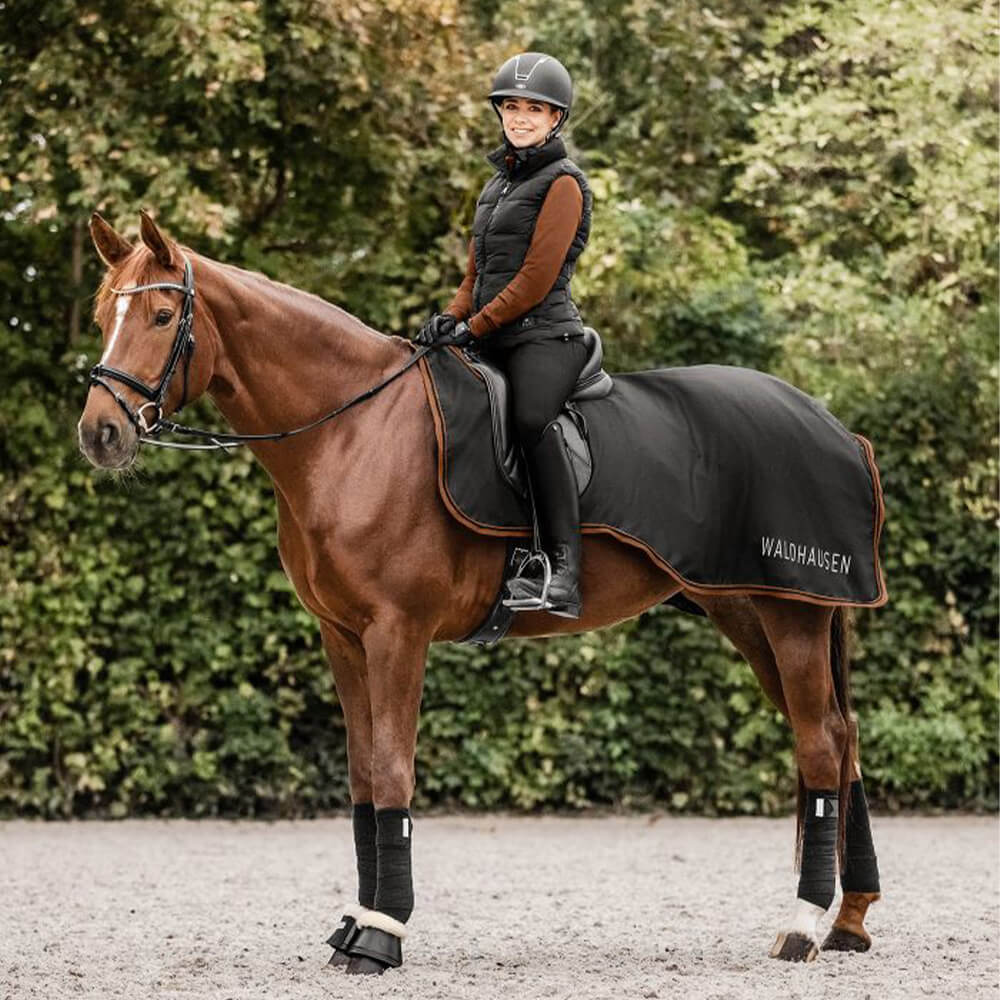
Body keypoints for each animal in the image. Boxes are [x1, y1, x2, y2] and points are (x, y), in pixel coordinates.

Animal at [77, 210, 882, 974]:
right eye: (102, 314)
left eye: (160, 316)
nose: (101, 433)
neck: (354, 432)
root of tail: (836, 429)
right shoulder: (342, 635)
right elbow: (363, 774)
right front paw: (354, 923)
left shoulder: (397, 632)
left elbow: (393, 771)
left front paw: (383, 933)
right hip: (747, 612)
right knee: (840, 740)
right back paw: (847, 920)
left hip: (792, 617)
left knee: (819, 745)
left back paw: (802, 926)